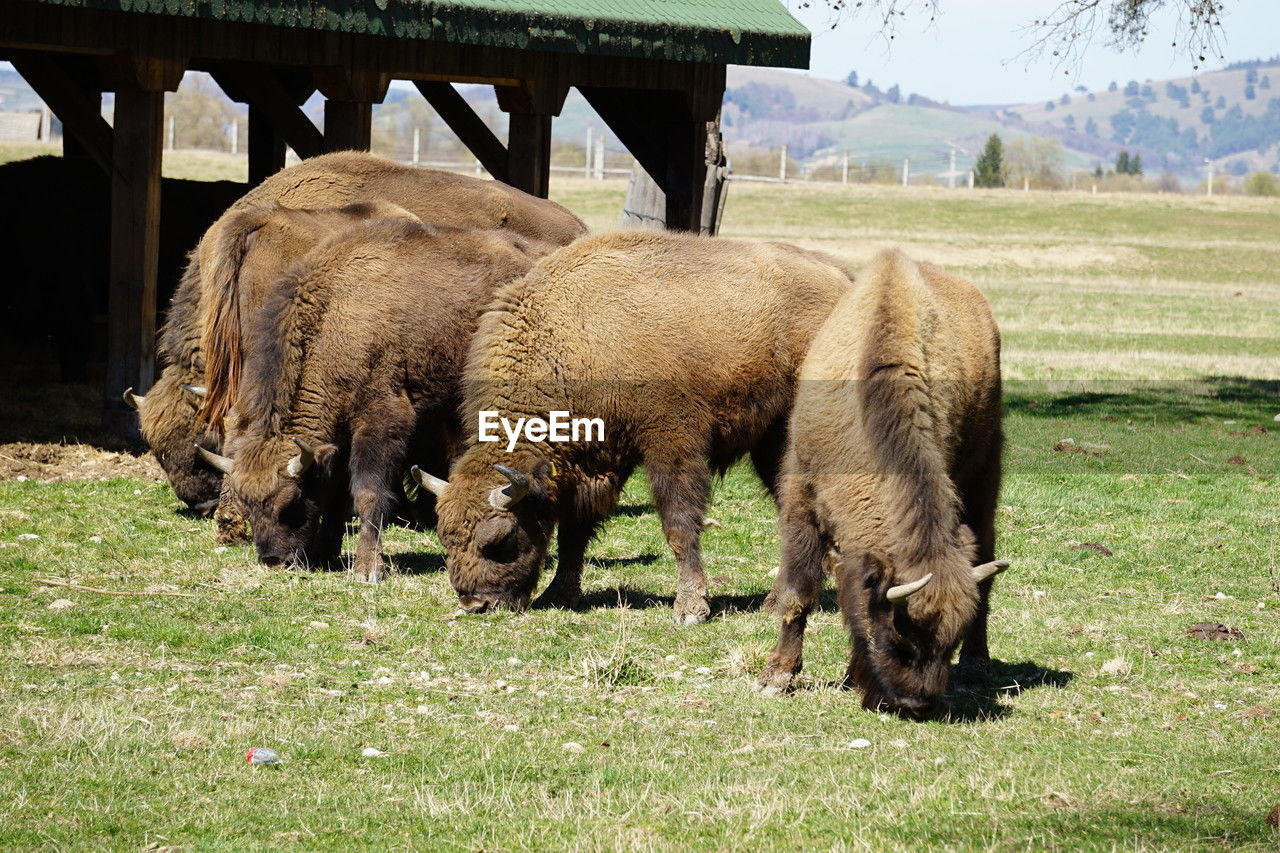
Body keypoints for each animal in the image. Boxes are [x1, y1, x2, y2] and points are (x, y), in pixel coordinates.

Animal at [198, 216, 555, 581]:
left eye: (291, 502)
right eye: (247, 504)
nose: (273, 561)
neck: (334, 317)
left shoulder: (381, 419)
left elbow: (368, 492)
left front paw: (368, 569)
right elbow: (337, 494)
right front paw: (325, 553)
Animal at [409, 229, 849, 622]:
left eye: (500, 540)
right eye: (445, 537)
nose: (476, 604)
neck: (571, 342)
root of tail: (840, 280)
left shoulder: (672, 445)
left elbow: (679, 523)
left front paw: (691, 608)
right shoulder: (590, 464)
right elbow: (574, 532)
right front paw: (559, 595)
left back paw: (780, 602)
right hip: (772, 443)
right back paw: (782, 600)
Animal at [747, 249, 1008, 712]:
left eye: (948, 643)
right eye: (900, 638)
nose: (917, 703)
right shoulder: (801, 500)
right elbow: (799, 592)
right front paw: (775, 677)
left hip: (984, 475)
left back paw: (977, 667)